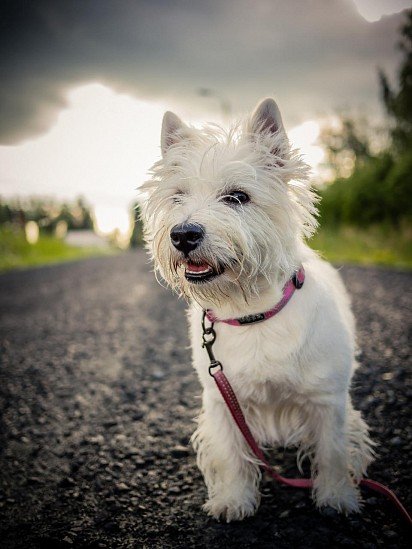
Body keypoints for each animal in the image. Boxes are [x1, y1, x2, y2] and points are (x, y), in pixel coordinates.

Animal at [140, 98, 374, 524]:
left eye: (237, 196)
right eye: (178, 196)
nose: (183, 234)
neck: (253, 315)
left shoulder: (327, 399)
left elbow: (332, 451)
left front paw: (337, 498)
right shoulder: (222, 401)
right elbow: (231, 456)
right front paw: (234, 501)